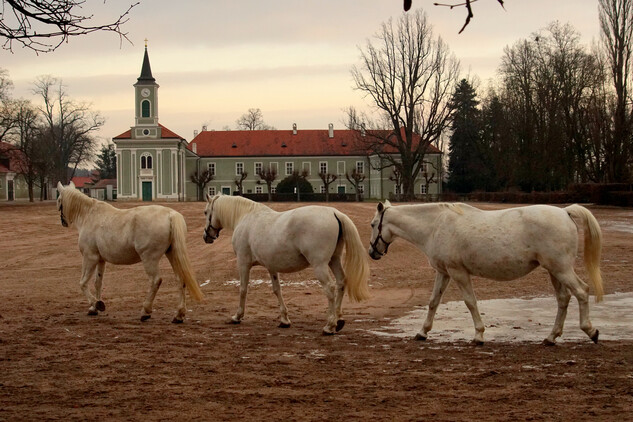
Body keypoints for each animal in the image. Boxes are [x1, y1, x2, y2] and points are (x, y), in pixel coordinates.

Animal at [56, 180, 204, 322]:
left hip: (149, 259)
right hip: (172, 254)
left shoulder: (89, 257)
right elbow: (98, 283)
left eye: (59, 200)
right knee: (180, 279)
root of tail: (170, 215)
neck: (89, 215)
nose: (63, 222)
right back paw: (178, 315)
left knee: (155, 281)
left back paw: (146, 311)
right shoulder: (100, 260)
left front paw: (97, 304)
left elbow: (83, 283)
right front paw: (94, 308)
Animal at [202, 193, 370, 334]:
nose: (206, 237)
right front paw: (284, 319)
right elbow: (277, 290)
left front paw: (237, 316)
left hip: (320, 265)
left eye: (205, 212)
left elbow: (243, 289)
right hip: (333, 260)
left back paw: (329, 326)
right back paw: (339, 319)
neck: (245, 217)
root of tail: (334, 212)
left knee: (329, 288)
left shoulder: (243, 263)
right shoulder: (271, 267)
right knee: (341, 282)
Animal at [368, 202, 604, 346]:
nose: (372, 252)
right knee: (563, 299)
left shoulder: (458, 272)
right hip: (554, 271)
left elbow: (470, 302)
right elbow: (434, 302)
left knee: (582, 292)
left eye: (372, 224)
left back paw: (591, 331)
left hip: (561, 269)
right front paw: (422, 332)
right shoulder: (443, 272)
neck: (436, 226)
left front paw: (478, 335)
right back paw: (551, 337)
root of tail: (565, 212)